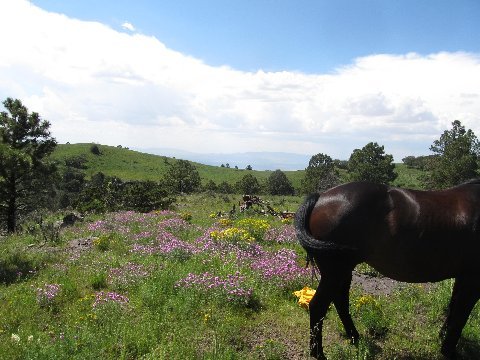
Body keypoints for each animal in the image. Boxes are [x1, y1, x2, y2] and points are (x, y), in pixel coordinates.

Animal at [294, 180, 480, 360]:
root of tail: (320, 197)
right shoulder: (472, 279)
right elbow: (460, 317)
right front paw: (449, 351)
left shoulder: (462, 276)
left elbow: (453, 308)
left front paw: (443, 336)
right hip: (336, 271)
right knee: (318, 305)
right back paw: (318, 353)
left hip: (343, 271)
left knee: (340, 301)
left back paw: (354, 337)